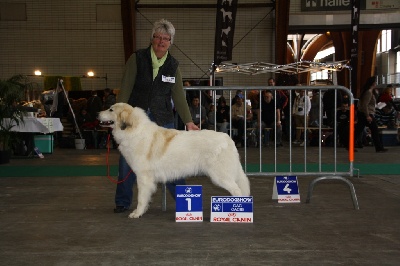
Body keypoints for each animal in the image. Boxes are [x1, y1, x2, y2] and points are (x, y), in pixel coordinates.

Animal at [99, 102, 250, 218]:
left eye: (111, 109)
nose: (97, 114)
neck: (134, 131)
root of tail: (228, 139)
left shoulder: (143, 177)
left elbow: (141, 198)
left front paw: (137, 213)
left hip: (220, 175)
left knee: (237, 190)